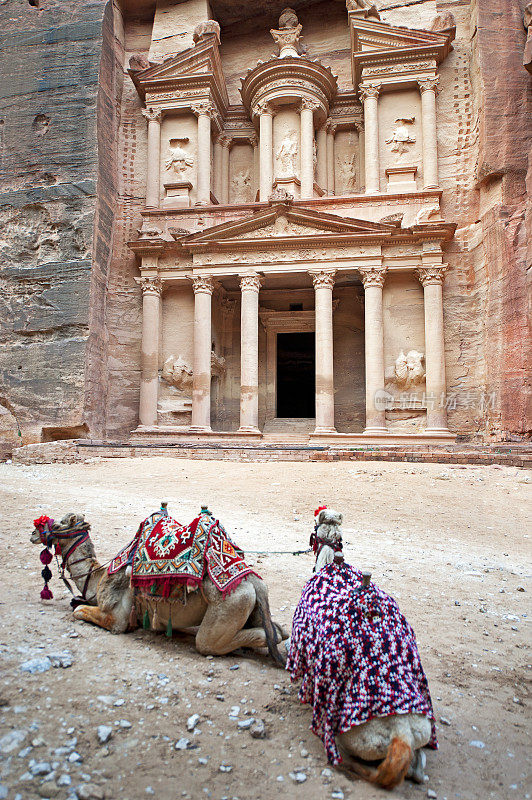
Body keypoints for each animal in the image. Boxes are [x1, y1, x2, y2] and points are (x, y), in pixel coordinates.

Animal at [31, 510, 288, 664]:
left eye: (60, 524)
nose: (34, 531)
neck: (98, 575)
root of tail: (253, 581)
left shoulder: (116, 618)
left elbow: (79, 611)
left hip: (229, 604)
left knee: (211, 642)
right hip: (250, 605)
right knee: (277, 629)